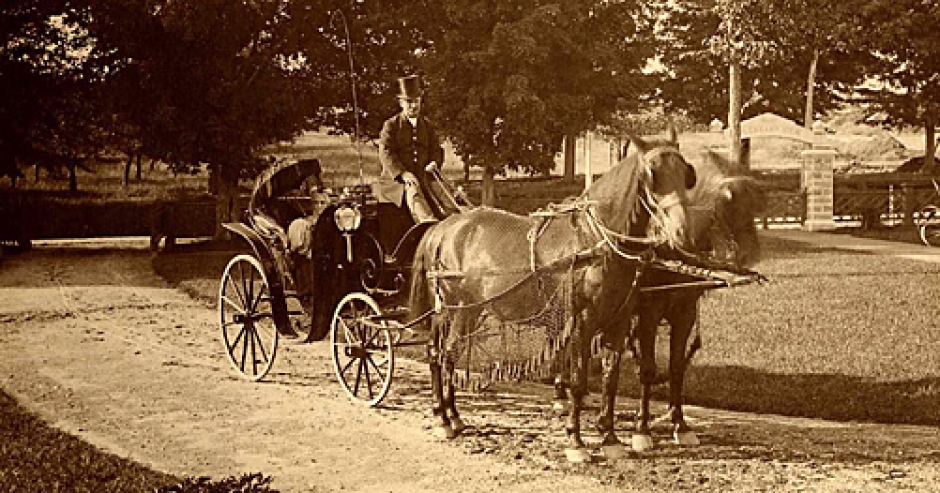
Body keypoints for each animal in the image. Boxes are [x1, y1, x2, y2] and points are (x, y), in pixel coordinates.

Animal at [408, 131, 692, 462]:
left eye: (686, 172)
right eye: (652, 173)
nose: (682, 231)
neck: (596, 242)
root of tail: (444, 226)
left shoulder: (618, 322)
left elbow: (610, 379)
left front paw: (609, 437)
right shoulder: (581, 324)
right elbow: (579, 382)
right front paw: (576, 441)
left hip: (465, 312)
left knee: (442, 353)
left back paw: (450, 414)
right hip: (457, 308)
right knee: (445, 355)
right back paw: (444, 418)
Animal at [624, 154, 764, 450]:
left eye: (752, 210)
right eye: (730, 207)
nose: (749, 253)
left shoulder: (684, 314)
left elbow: (677, 368)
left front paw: (680, 424)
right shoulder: (649, 314)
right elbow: (648, 369)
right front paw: (642, 429)